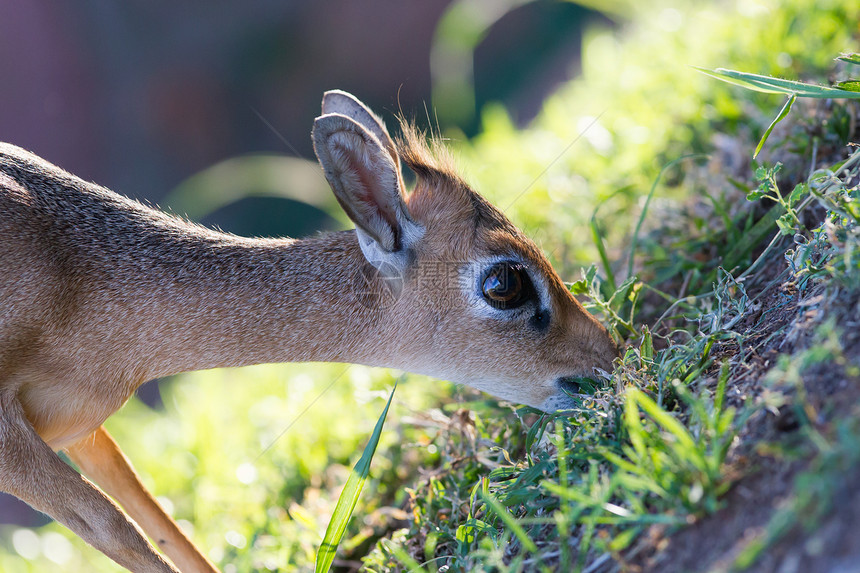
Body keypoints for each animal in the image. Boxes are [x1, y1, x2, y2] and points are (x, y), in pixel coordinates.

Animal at [0, 91, 620, 568]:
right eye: (504, 282)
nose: (608, 359)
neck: (80, 273)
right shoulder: (13, 445)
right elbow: (117, 532)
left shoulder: (83, 430)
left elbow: (158, 523)